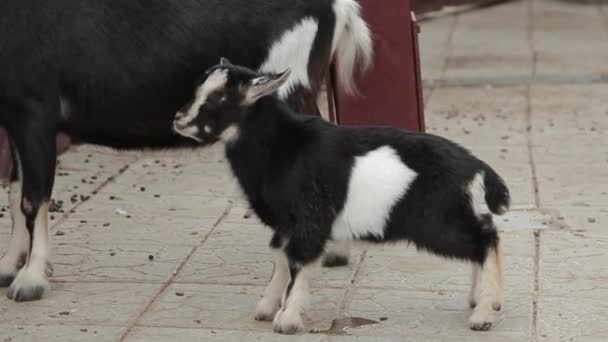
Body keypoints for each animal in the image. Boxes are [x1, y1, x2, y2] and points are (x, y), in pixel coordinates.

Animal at [0, 0, 370, 302]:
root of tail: (337, 6)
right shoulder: (14, 116)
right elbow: (16, 192)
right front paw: (8, 267)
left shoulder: (35, 108)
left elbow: (32, 198)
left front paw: (30, 281)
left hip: (290, 87)